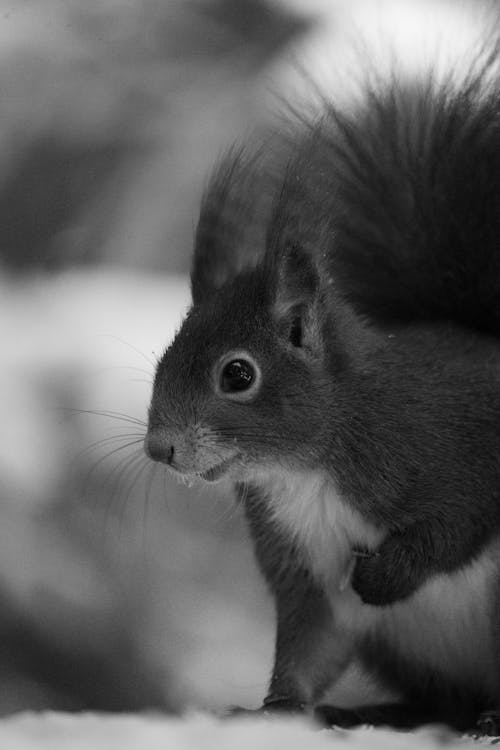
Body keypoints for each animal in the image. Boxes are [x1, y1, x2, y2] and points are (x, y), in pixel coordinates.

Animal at [144, 33, 500, 736]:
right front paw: (276, 706)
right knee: (442, 701)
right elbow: (310, 643)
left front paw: (384, 577)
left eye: (238, 374)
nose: (159, 448)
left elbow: (457, 526)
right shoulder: (301, 567)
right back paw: (381, 712)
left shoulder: (459, 453)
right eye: (163, 358)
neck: (306, 469)